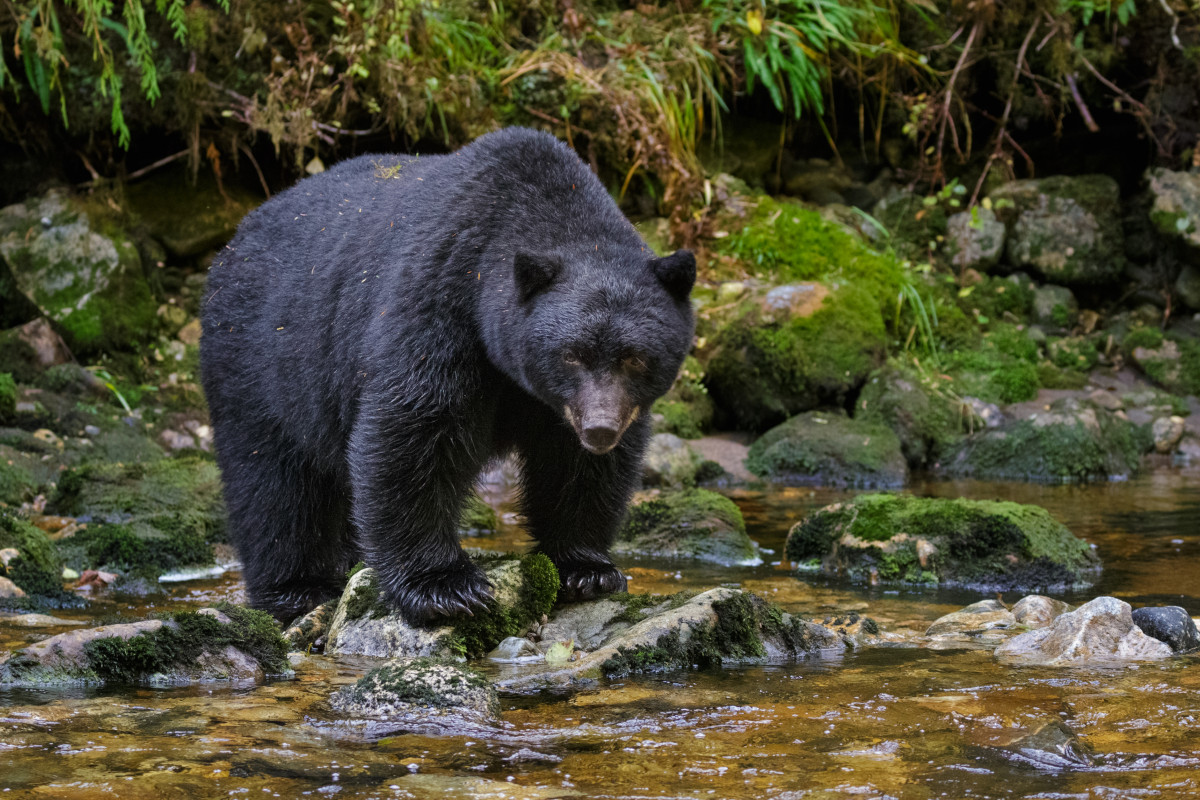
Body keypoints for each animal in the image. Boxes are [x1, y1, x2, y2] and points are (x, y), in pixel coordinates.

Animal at [202, 128, 700, 623]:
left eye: (635, 357)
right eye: (571, 355)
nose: (600, 429)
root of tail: (234, 239)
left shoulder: (565, 405)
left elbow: (576, 466)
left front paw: (587, 568)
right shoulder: (441, 300)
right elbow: (415, 432)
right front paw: (444, 586)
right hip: (261, 361)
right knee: (273, 482)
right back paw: (297, 588)